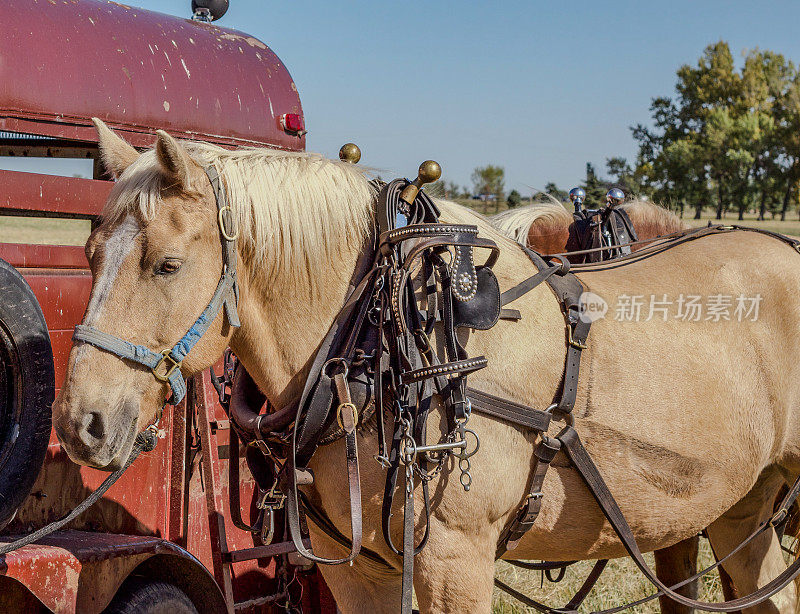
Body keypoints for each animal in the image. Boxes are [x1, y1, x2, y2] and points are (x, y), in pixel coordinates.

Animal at [57, 121, 800, 614]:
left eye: (167, 264)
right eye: (89, 253)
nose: (80, 423)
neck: (374, 347)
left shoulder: (454, 564)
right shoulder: (362, 572)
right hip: (740, 510)